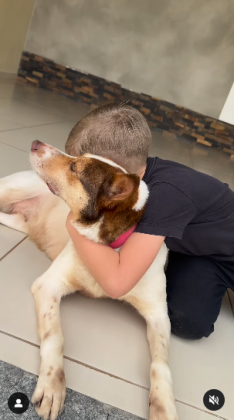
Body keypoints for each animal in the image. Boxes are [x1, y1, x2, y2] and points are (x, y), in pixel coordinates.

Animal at [0, 141, 177, 420]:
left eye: (75, 167)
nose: (36, 143)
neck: (111, 252)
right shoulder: (48, 285)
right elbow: (55, 336)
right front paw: (52, 386)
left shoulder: (158, 314)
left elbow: (161, 363)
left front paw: (163, 406)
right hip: (11, 189)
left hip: (17, 221)